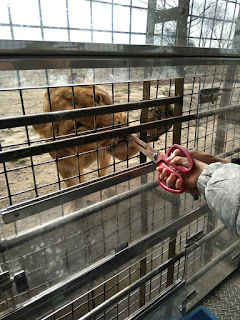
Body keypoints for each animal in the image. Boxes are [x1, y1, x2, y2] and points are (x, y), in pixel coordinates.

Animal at [33, 85, 172, 209]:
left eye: (97, 98)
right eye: (77, 125)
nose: (118, 124)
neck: (85, 150)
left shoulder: (116, 149)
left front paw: (161, 114)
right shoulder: (65, 167)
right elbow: (73, 186)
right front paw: (77, 206)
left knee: (102, 171)